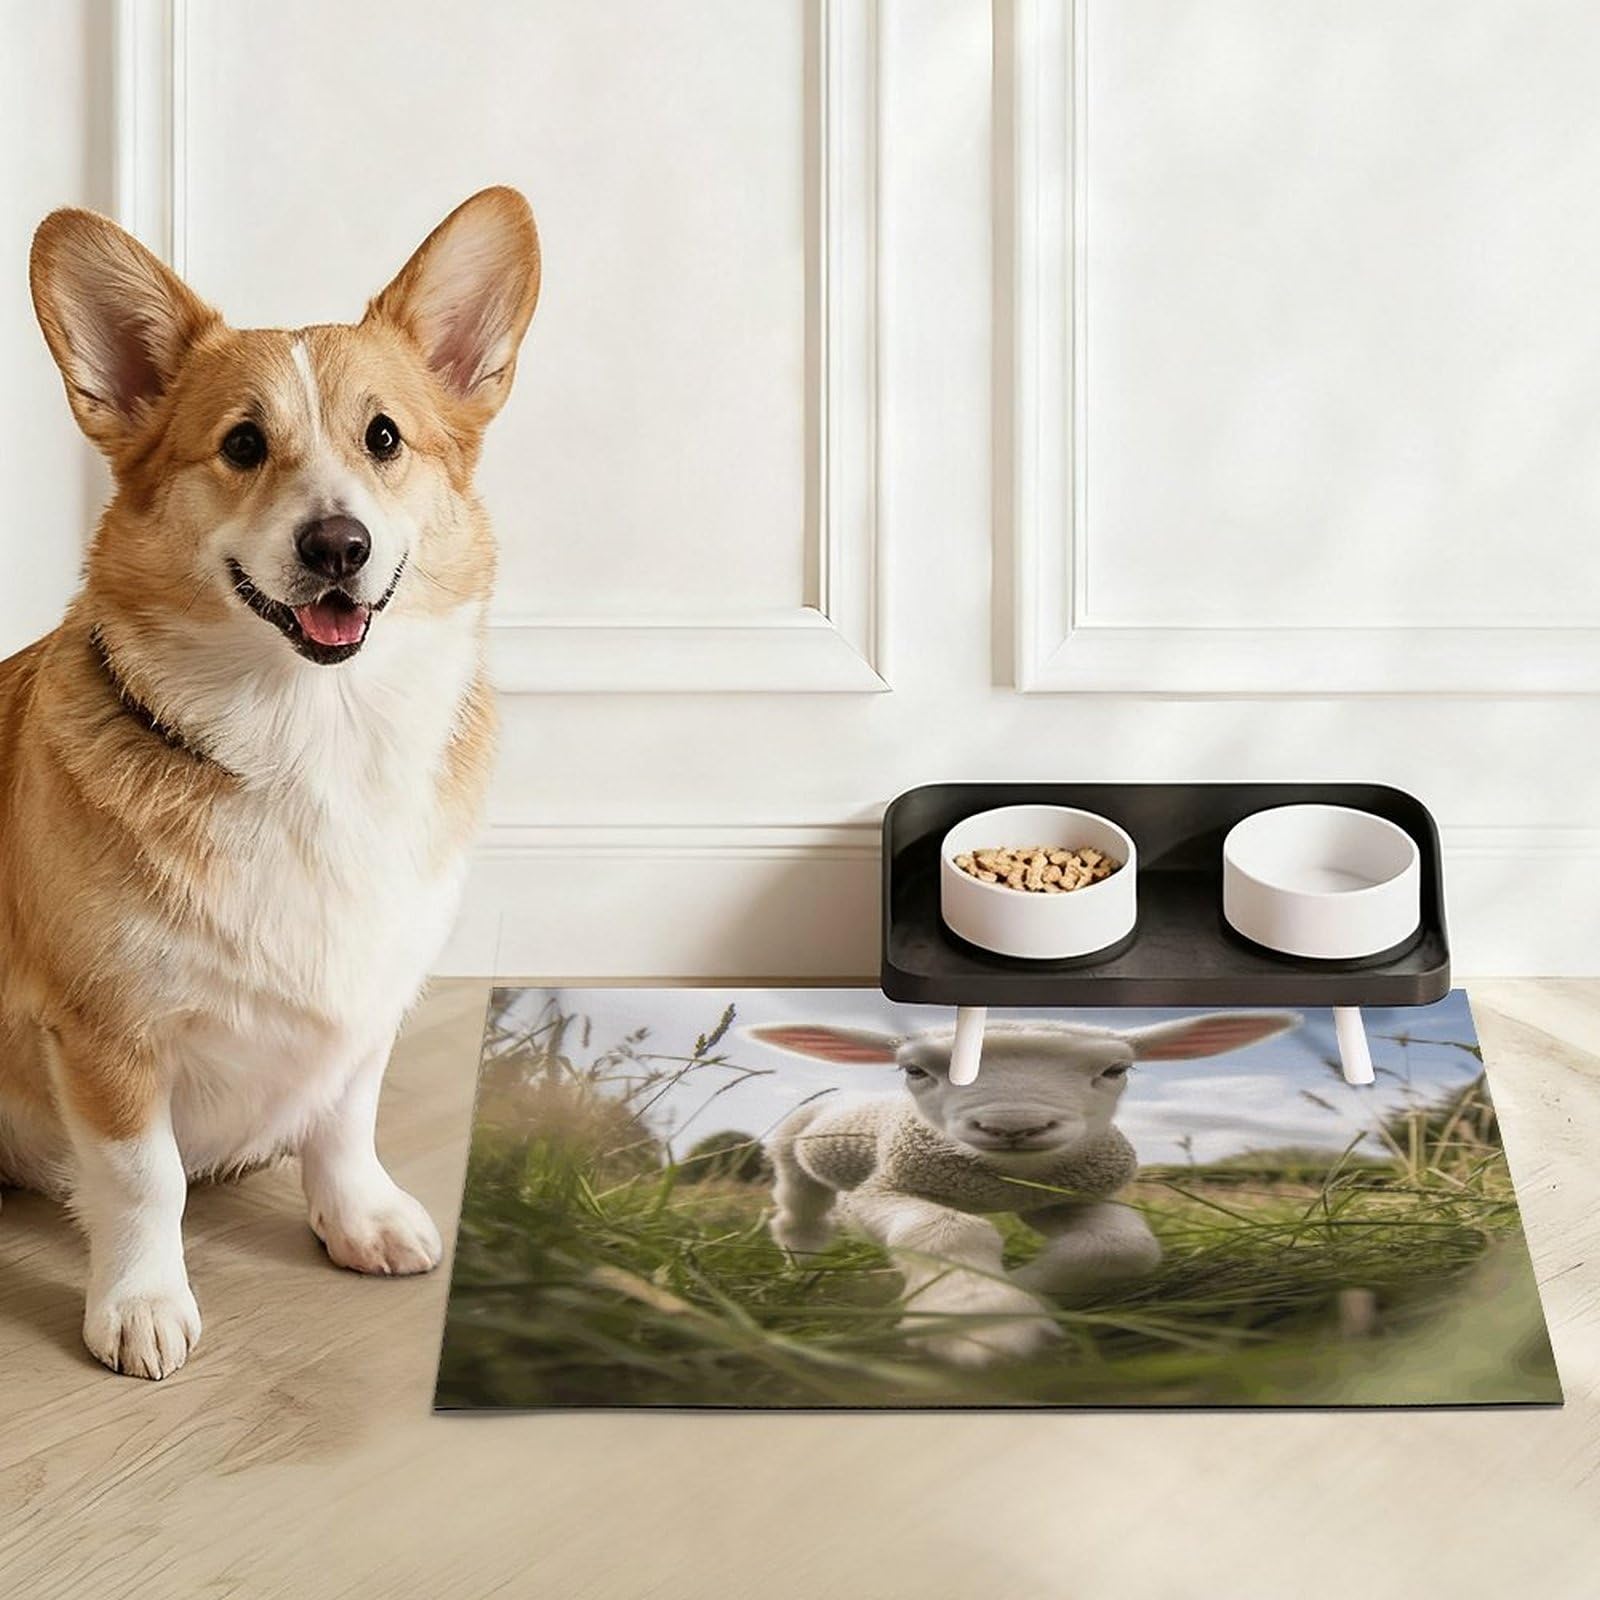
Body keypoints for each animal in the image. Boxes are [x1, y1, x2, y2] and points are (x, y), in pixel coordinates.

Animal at [750, 1010, 1300, 1366]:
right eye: (915, 1070)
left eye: (1115, 1070)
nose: (1013, 1126)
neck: (996, 1185)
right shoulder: (876, 1191)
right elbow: (945, 1230)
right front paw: (978, 1313)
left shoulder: (1065, 1194)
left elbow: (1121, 1246)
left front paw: (1025, 1288)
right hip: (791, 1158)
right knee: (798, 1216)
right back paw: (799, 1272)